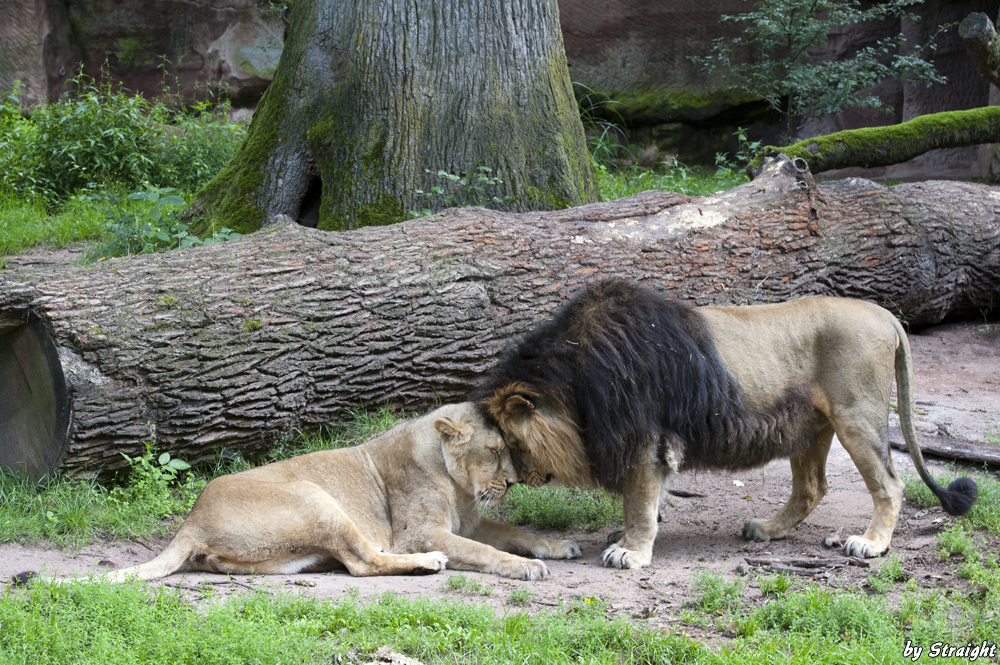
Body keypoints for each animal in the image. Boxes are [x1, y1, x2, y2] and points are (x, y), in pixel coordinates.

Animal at [74, 400, 584, 580]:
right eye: (495, 450)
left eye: (510, 447)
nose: (513, 481)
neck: (458, 484)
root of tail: (191, 521)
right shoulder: (419, 532)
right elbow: (486, 552)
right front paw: (525, 566)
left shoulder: (471, 521)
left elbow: (514, 532)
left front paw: (557, 546)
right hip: (316, 497)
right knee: (363, 563)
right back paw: (428, 564)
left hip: (290, 552)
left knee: (351, 561)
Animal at [474, 278, 976, 568]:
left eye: (512, 445)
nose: (517, 482)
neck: (575, 381)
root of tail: (884, 314)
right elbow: (647, 499)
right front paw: (631, 536)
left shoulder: (645, 439)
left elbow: (639, 500)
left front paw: (631, 551)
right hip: (812, 427)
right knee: (812, 487)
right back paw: (767, 530)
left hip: (857, 416)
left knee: (891, 485)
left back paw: (871, 544)